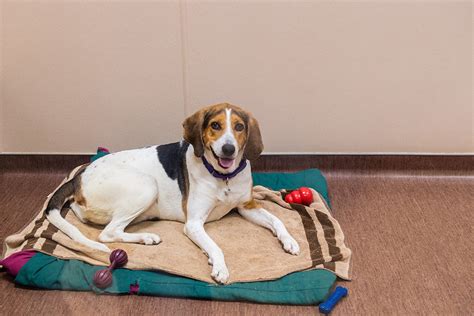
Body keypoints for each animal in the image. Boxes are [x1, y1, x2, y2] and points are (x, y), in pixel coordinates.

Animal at [47, 103, 300, 284]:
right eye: (215, 125)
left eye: (239, 127)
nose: (228, 149)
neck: (223, 177)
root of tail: (80, 174)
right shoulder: (194, 224)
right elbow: (216, 246)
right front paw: (219, 266)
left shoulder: (247, 207)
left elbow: (277, 220)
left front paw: (289, 240)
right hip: (147, 185)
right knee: (108, 234)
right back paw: (147, 237)